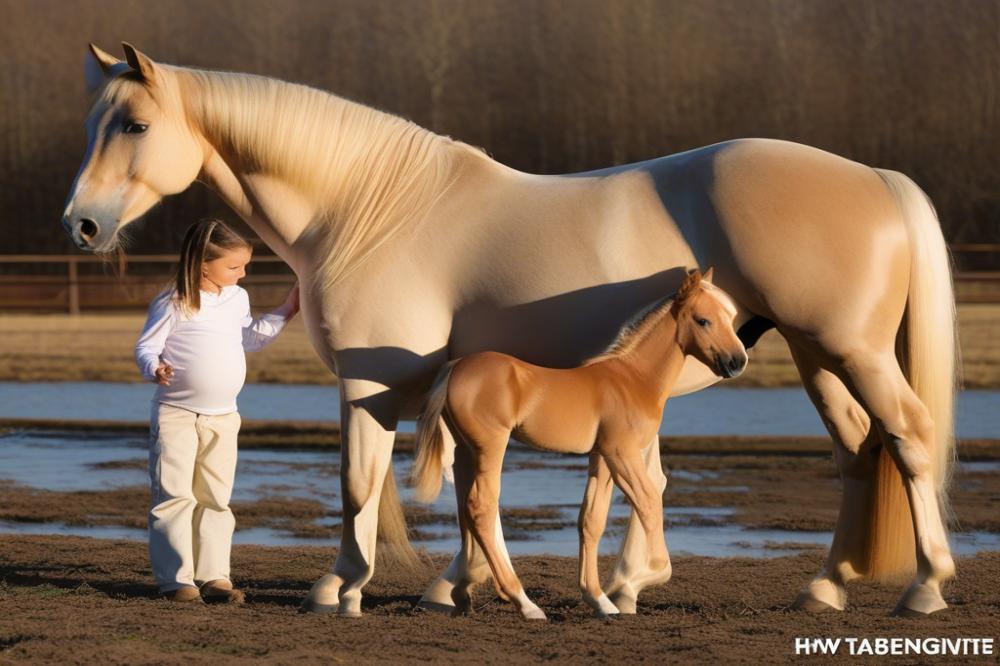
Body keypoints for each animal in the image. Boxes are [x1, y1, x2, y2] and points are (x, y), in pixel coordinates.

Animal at [410, 268, 748, 616]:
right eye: (704, 320)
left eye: (731, 316)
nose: (738, 361)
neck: (633, 379)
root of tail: (454, 368)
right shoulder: (621, 452)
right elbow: (649, 502)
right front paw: (644, 575)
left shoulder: (602, 457)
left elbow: (591, 520)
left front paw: (600, 601)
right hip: (491, 447)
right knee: (482, 507)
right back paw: (524, 603)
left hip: (466, 450)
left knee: (467, 511)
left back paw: (466, 594)